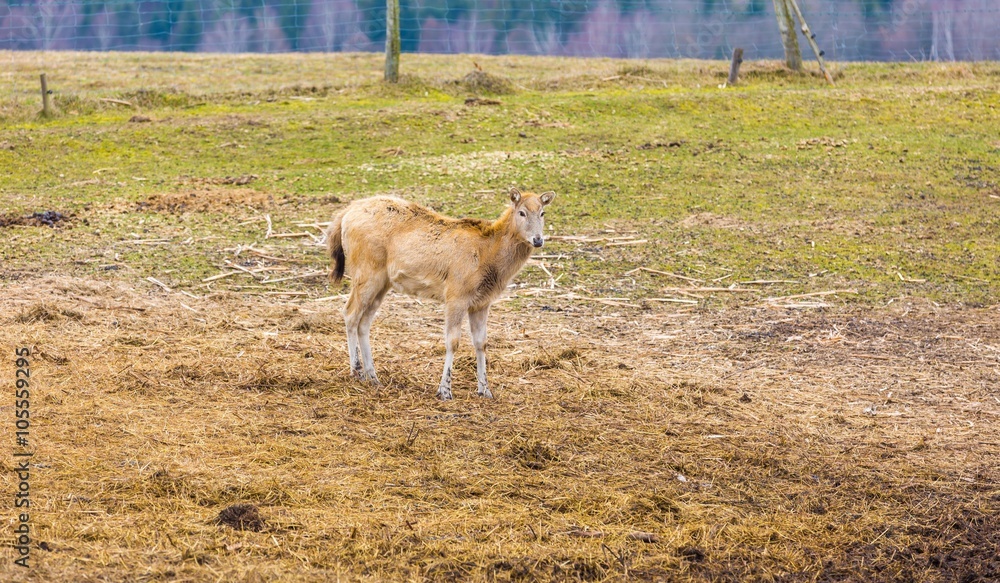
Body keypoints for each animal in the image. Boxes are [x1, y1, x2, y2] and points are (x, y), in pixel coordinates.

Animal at [325, 188, 555, 400]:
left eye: (542, 212)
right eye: (522, 212)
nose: (538, 240)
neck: (488, 256)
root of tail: (344, 214)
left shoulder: (482, 302)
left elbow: (481, 342)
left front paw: (485, 390)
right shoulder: (456, 295)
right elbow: (453, 341)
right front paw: (445, 390)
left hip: (383, 282)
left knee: (364, 321)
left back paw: (372, 376)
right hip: (366, 271)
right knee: (350, 313)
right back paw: (356, 371)